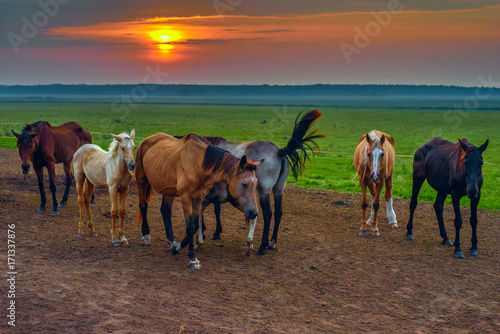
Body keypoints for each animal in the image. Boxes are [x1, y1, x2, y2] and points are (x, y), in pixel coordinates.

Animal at [135, 132, 264, 268]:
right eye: (244, 184)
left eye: (256, 184)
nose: (253, 212)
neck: (197, 164)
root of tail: (147, 139)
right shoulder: (186, 197)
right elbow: (191, 227)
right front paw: (192, 258)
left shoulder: (199, 198)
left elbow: (196, 224)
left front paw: (177, 248)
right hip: (141, 180)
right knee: (143, 206)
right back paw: (146, 235)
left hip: (168, 189)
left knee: (165, 211)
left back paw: (171, 241)